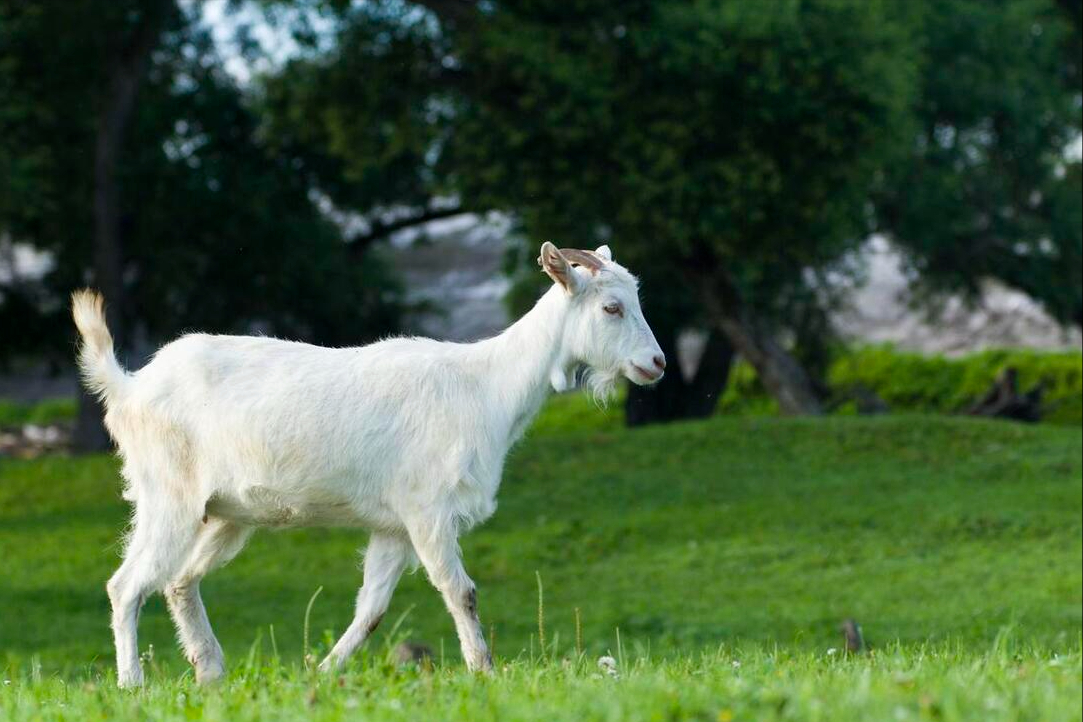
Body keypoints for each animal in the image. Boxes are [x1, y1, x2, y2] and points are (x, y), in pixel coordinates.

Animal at [72, 240, 662, 688]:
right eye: (611, 308)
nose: (656, 363)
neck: (485, 386)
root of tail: (129, 386)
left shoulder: (393, 527)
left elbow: (372, 609)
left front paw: (323, 674)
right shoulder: (428, 511)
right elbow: (461, 592)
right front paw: (484, 670)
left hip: (225, 514)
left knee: (179, 581)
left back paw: (210, 672)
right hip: (167, 495)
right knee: (126, 585)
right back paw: (132, 684)